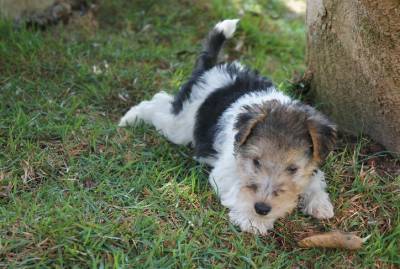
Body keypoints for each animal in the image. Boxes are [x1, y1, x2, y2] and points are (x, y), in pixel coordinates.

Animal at [119, 19, 338, 232]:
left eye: (293, 169)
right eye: (256, 162)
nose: (262, 208)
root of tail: (211, 68)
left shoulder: (312, 167)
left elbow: (314, 180)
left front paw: (320, 204)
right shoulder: (225, 170)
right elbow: (240, 189)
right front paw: (253, 221)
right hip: (179, 126)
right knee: (156, 103)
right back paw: (130, 118)